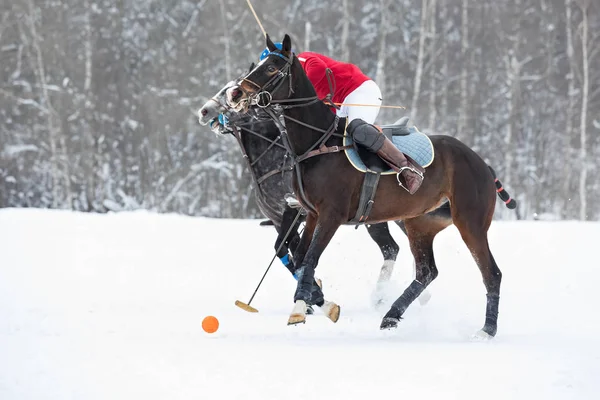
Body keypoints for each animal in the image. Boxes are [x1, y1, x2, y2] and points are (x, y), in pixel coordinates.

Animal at [227, 34, 512, 338]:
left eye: (272, 67)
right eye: (259, 64)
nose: (236, 94)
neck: (316, 143)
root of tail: (482, 163)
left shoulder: (331, 215)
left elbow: (310, 258)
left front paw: (301, 310)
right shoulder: (312, 214)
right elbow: (302, 258)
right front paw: (314, 305)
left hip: (470, 221)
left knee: (491, 273)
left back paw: (487, 329)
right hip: (421, 224)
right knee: (426, 272)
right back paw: (390, 316)